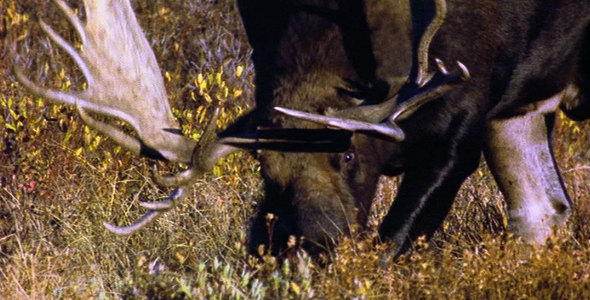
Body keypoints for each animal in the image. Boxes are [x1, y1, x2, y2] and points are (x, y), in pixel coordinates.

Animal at [12, 0, 590, 258]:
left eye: (350, 154)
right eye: (266, 170)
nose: (316, 243)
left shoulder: (464, 115)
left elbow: (392, 242)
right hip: (520, 115)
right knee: (543, 210)